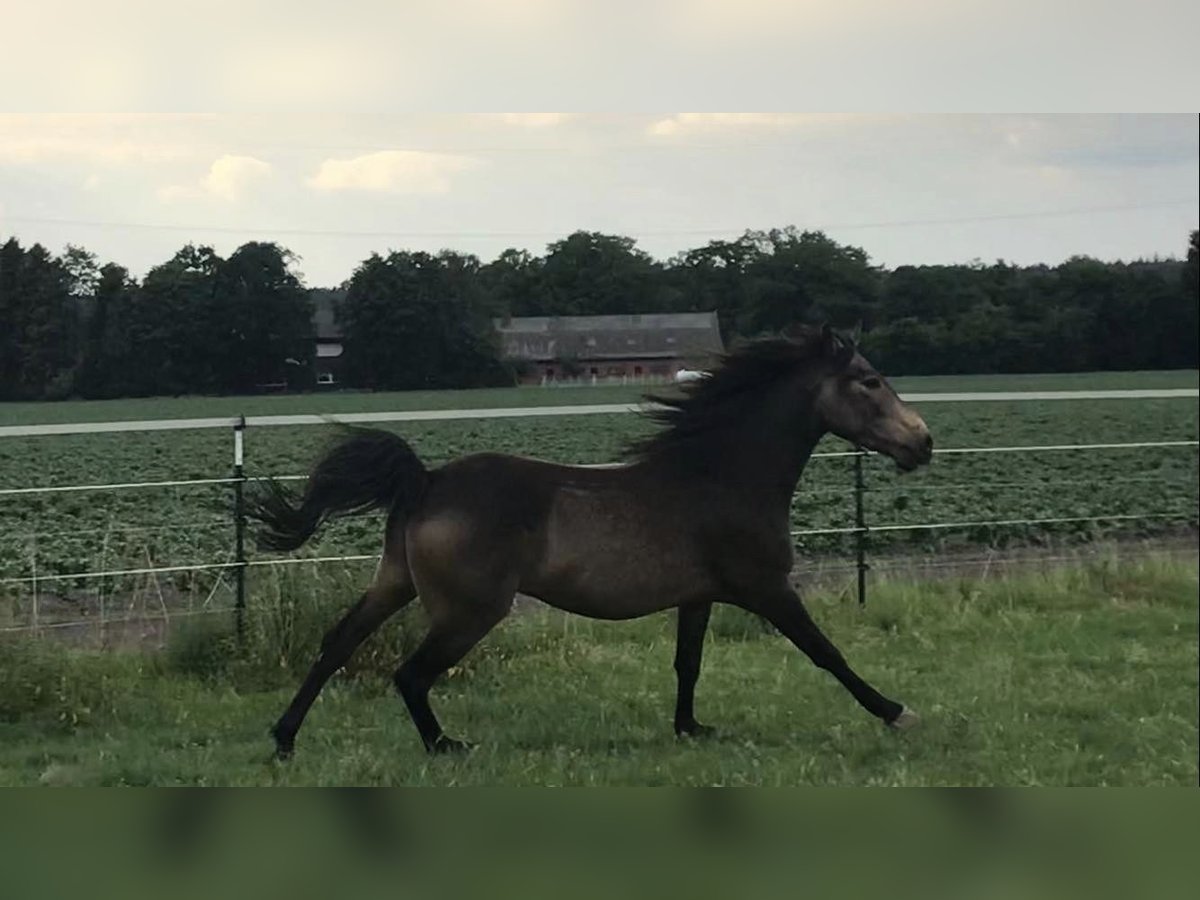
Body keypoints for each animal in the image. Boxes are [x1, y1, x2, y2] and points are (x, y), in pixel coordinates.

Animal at [248, 326, 931, 763]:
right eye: (870, 381)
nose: (922, 443)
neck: (721, 476)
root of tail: (426, 481)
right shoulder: (766, 588)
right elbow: (827, 653)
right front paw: (897, 711)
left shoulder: (700, 596)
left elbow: (688, 663)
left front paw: (690, 728)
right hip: (469, 611)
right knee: (410, 673)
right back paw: (445, 747)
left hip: (393, 583)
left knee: (338, 645)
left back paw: (283, 741)